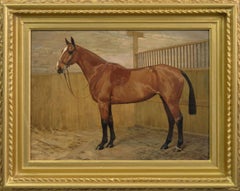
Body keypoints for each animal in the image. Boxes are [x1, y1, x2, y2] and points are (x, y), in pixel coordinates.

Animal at [57, 37, 196, 151]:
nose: (58, 68)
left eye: (70, 51)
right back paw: (165, 144)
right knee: (171, 120)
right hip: (165, 99)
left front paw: (101, 144)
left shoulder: (102, 103)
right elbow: (110, 121)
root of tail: (177, 70)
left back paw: (178, 146)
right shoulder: (108, 103)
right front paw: (111, 143)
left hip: (172, 101)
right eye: (62, 51)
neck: (99, 72)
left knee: (178, 119)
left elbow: (103, 122)